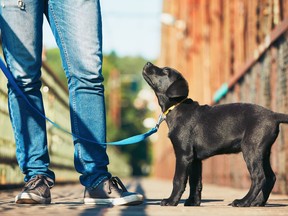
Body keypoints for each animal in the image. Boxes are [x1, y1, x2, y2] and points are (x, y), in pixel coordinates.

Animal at [143, 61, 288, 207]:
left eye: (165, 71)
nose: (147, 63)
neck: (177, 106)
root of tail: (273, 115)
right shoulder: (195, 159)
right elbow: (195, 182)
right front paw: (192, 202)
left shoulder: (183, 154)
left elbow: (179, 179)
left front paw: (171, 201)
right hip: (263, 152)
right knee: (270, 177)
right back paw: (257, 202)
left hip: (251, 149)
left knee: (259, 176)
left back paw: (243, 201)